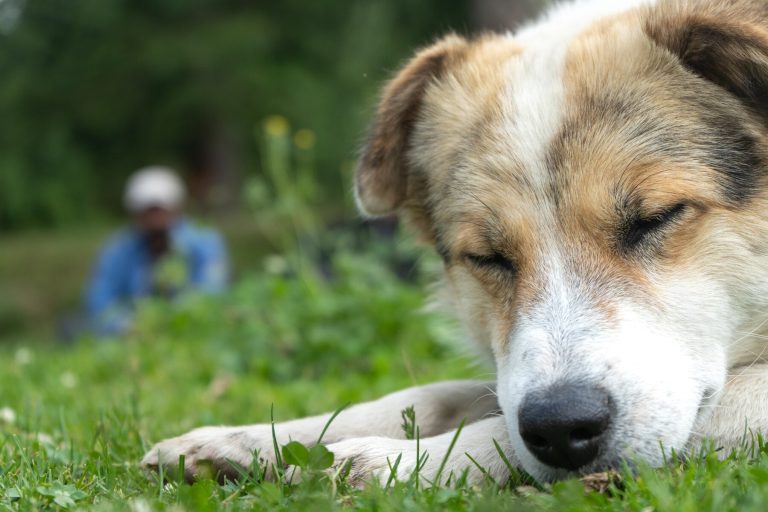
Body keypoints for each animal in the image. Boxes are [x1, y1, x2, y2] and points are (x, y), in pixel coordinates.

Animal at [141, 0, 768, 484]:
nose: (560, 427)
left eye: (655, 218)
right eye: (487, 258)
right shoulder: (508, 377)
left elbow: (501, 431)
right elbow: (433, 395)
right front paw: (251, 440)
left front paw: (393, 462)